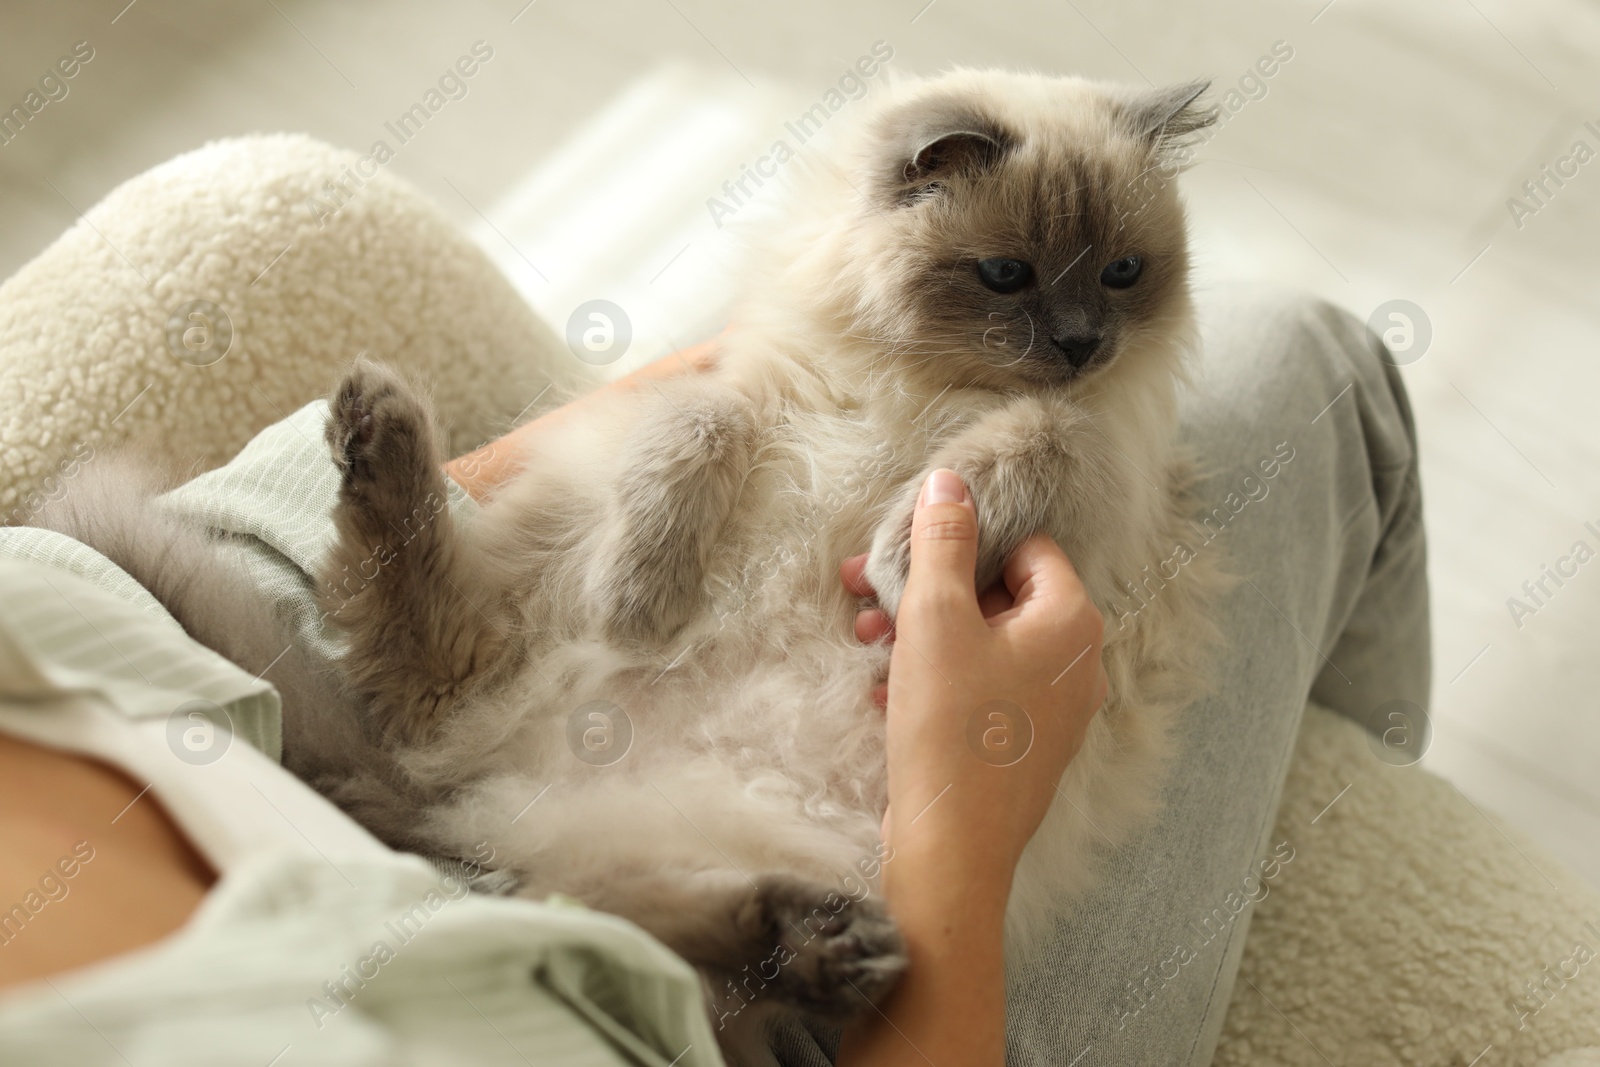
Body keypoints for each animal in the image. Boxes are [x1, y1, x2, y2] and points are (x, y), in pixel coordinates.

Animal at [31, 70, 1216, 1062]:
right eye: (1006, 275)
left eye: (1123, 273)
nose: (1081, 342)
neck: (927, 383)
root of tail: (473, 803)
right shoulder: (741, 393)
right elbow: (693, 442)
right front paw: (649, 597)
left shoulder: (1093, 468)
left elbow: (1020, 449)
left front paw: (891, 550)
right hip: (535, 616)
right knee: (440, 691)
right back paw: (383, 431)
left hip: (721, 840)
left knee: (655, 934)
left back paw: (825, 945)